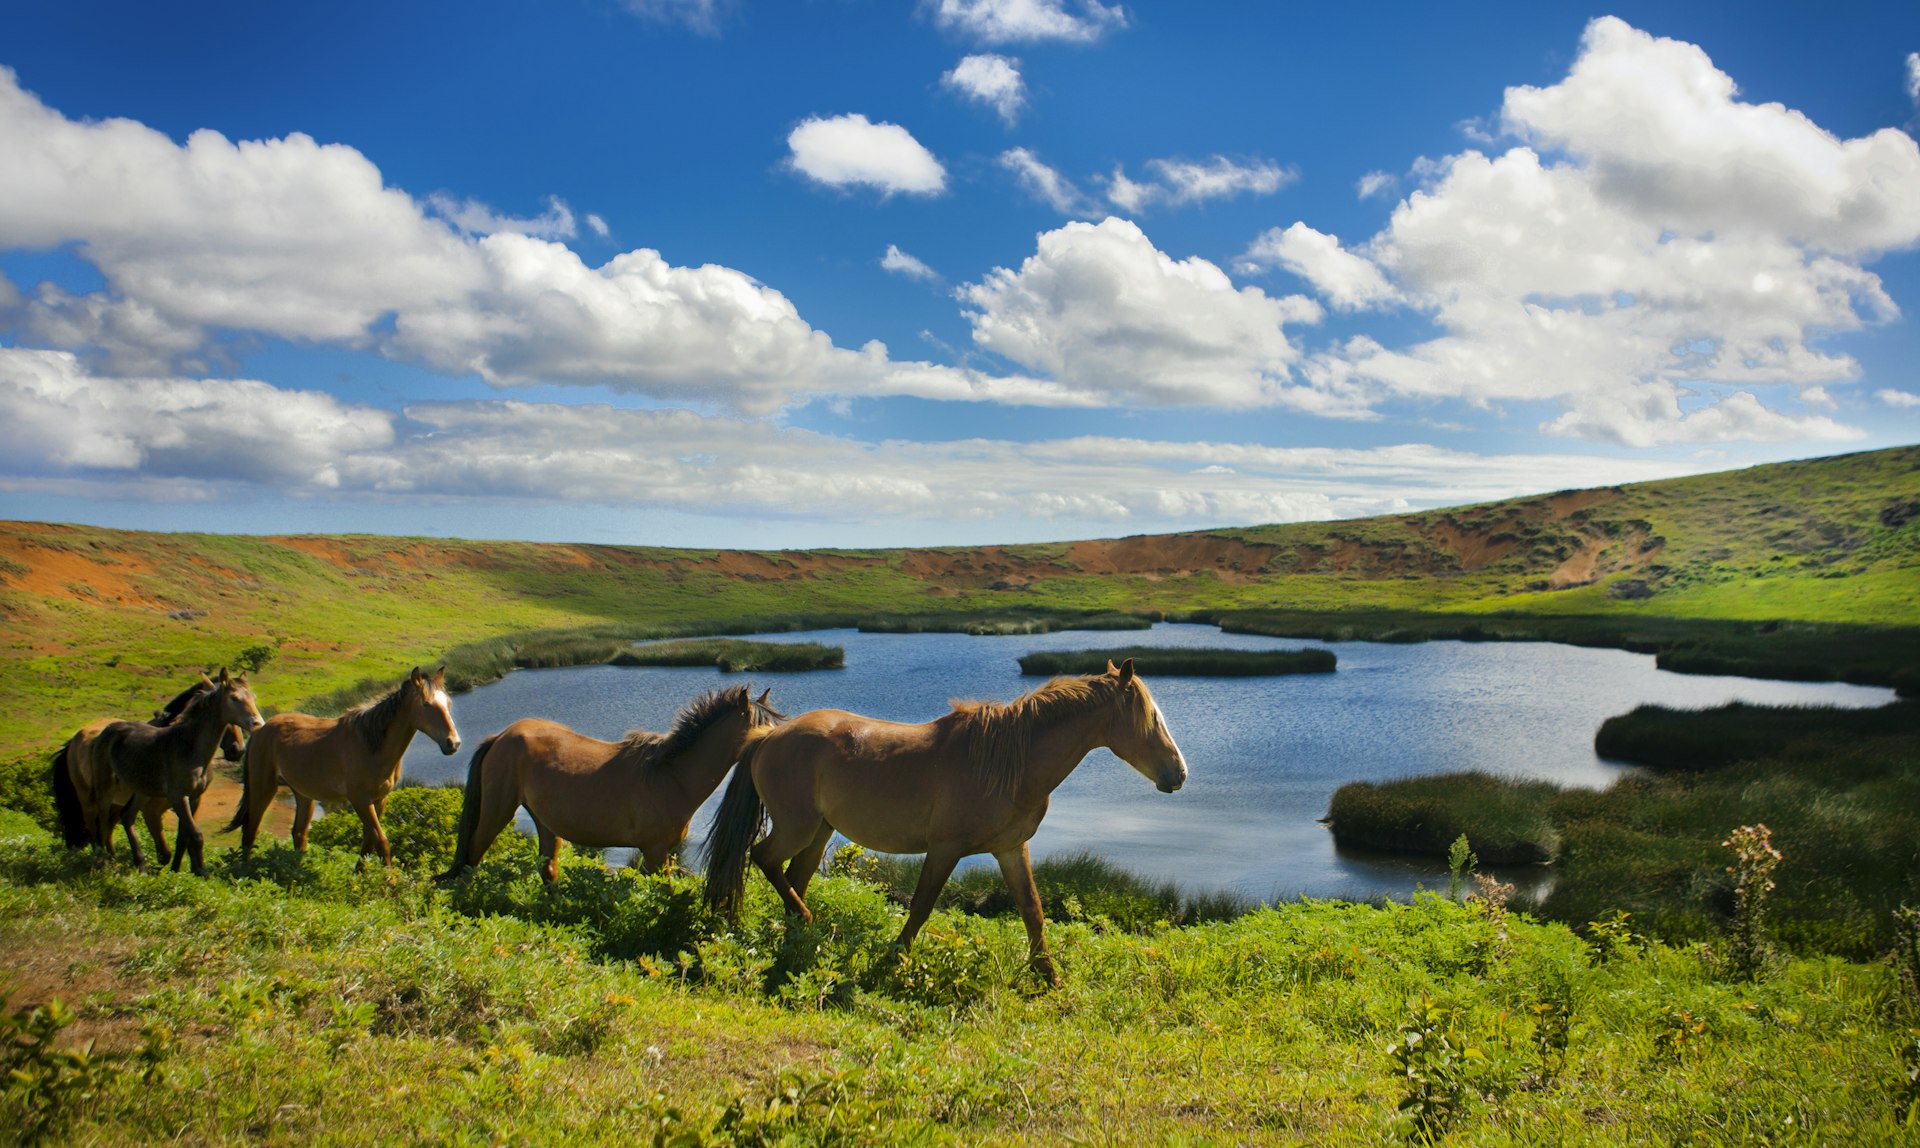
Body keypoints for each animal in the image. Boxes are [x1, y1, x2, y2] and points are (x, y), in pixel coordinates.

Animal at [50, 679, 249, 867]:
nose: (237, 750)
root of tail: (76, 739)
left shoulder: (191, 801)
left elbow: (182, 840)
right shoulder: (152, 809)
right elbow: (164, 850)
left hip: (115, 802)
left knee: (108, 829)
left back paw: (113, 859)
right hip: (88, 798)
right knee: (95, 826)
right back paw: (102, 859)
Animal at [86, 671, 264, 879]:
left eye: (254, 698)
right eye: (234, 698)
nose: (257, 723)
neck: (189, 747)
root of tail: (107, 731)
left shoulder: (194, 798)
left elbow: (184, 837)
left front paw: (187, 870)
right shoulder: (178, 797)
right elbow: (195, 835)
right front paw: (202, 872)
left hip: (140, 790)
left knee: (127, 817)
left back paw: (141, 867)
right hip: (105, 788)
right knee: (103, 823)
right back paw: (106, 862)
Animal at [226, 671, 458, 867]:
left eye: (449, 703)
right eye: (426, 704)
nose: (453, 743)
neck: (371, 746)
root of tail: (260, 729)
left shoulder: (379, 799)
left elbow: (368, 843)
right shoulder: (360, 800)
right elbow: (381, 842)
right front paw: (390, 883)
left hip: (303, 795)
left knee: (299, 834)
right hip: (263, 788)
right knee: (250, 831)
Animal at [439, 687, 779, 886]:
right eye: (762, 729)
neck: (672, 777)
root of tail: (501, 737)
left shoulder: (657, 854)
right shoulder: (655, 851)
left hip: (545, 822)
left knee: (547, 869)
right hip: (497, 811)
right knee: (471, 857)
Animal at [706, 660, 1182, 982]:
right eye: (1152, 718)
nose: (1179, 773)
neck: (1008, 763)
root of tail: (768, 736)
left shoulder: (1011, 849)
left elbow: (1032, 909)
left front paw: (1048, 976)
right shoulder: (945, 848)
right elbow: (921, 906)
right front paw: (894, 959)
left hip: (820, 831)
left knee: (793, 877)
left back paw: (800, 931)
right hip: (797, 827)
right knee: (763, 858)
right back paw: (806, 923)